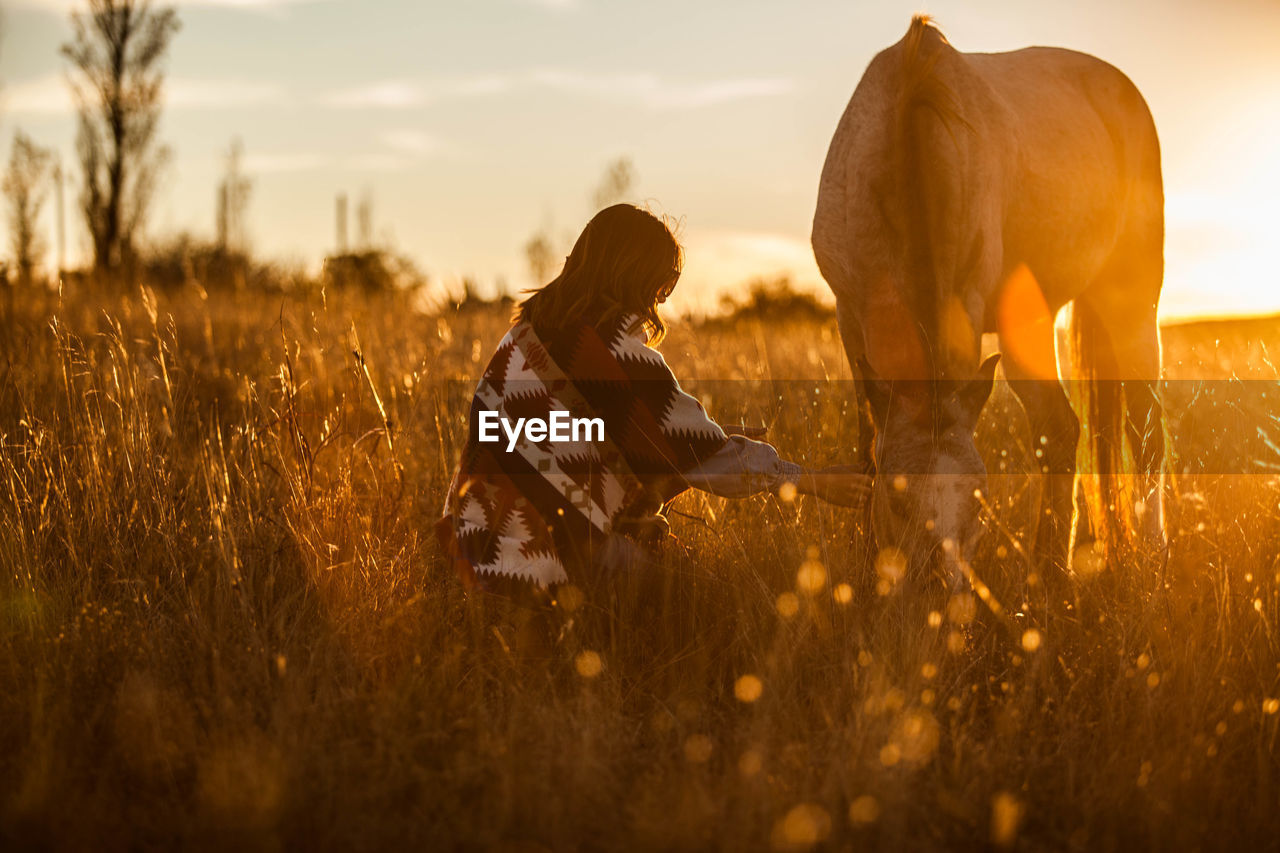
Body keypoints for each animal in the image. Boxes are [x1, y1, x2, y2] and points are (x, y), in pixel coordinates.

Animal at [814, 16, 1167, 594]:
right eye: (896, 499)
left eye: (979, 499)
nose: (940, 587)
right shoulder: (849, 314)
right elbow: (868, 439)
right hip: (1031, 318)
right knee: (1060, 428)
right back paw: (1052, 572)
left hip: (1133, 303)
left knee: (1146, 431)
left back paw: (1149, 557)